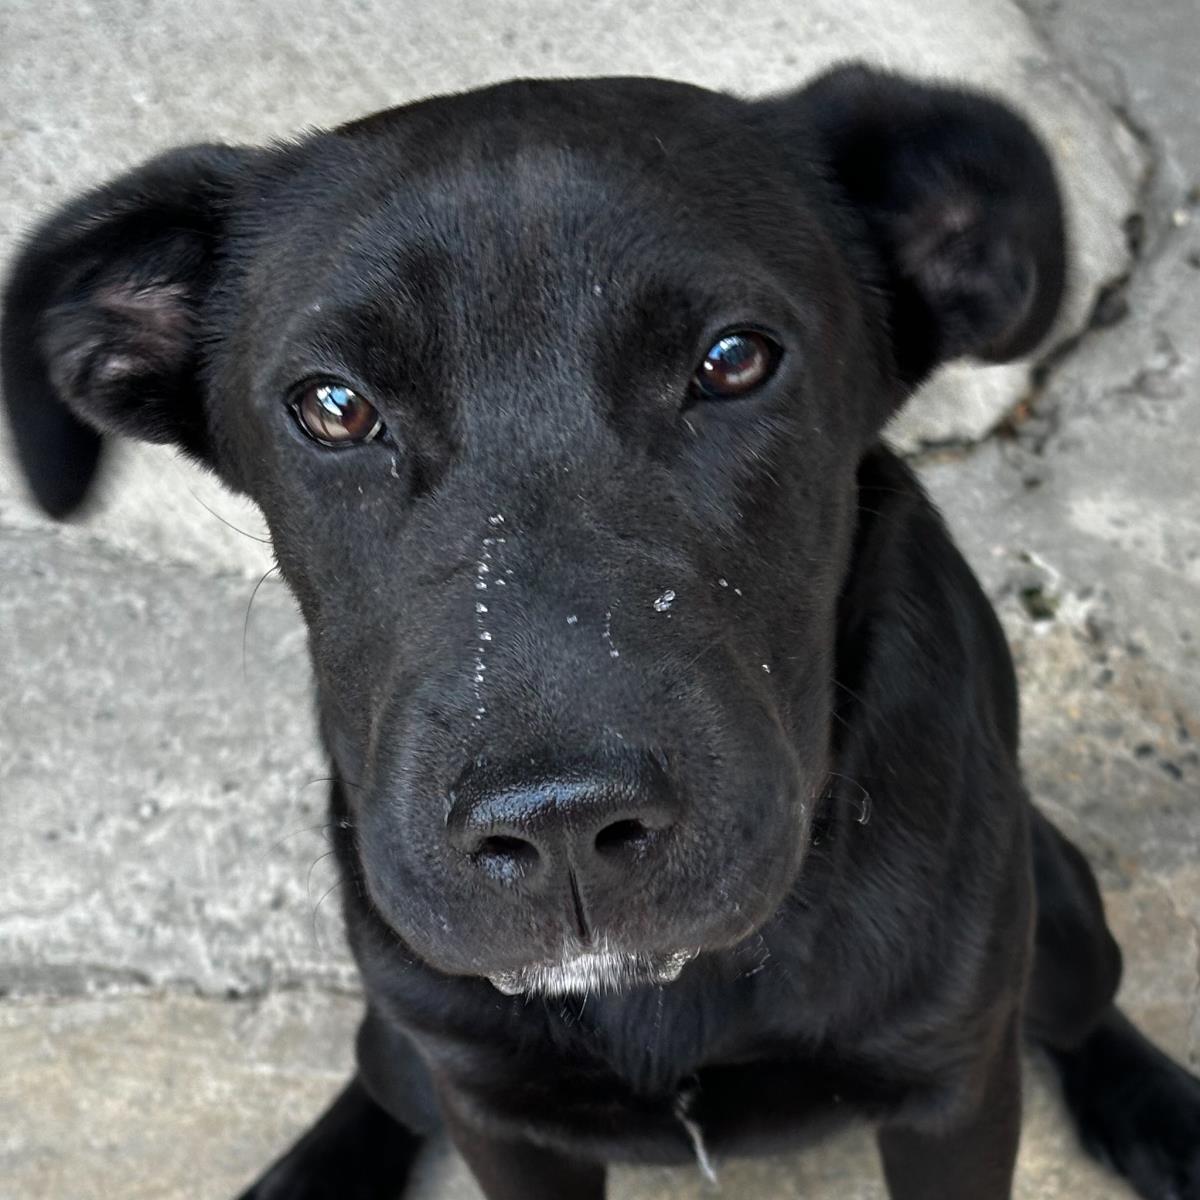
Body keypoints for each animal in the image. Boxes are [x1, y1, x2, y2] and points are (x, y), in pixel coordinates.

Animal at [2, 68, 1200, 1200]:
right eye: (333, 408)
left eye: (734, 359)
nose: (562, 827)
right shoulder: (499, 1117)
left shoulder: (954, 1090)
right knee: (381, 1069)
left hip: (1062, 929)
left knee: (1082, 1006)